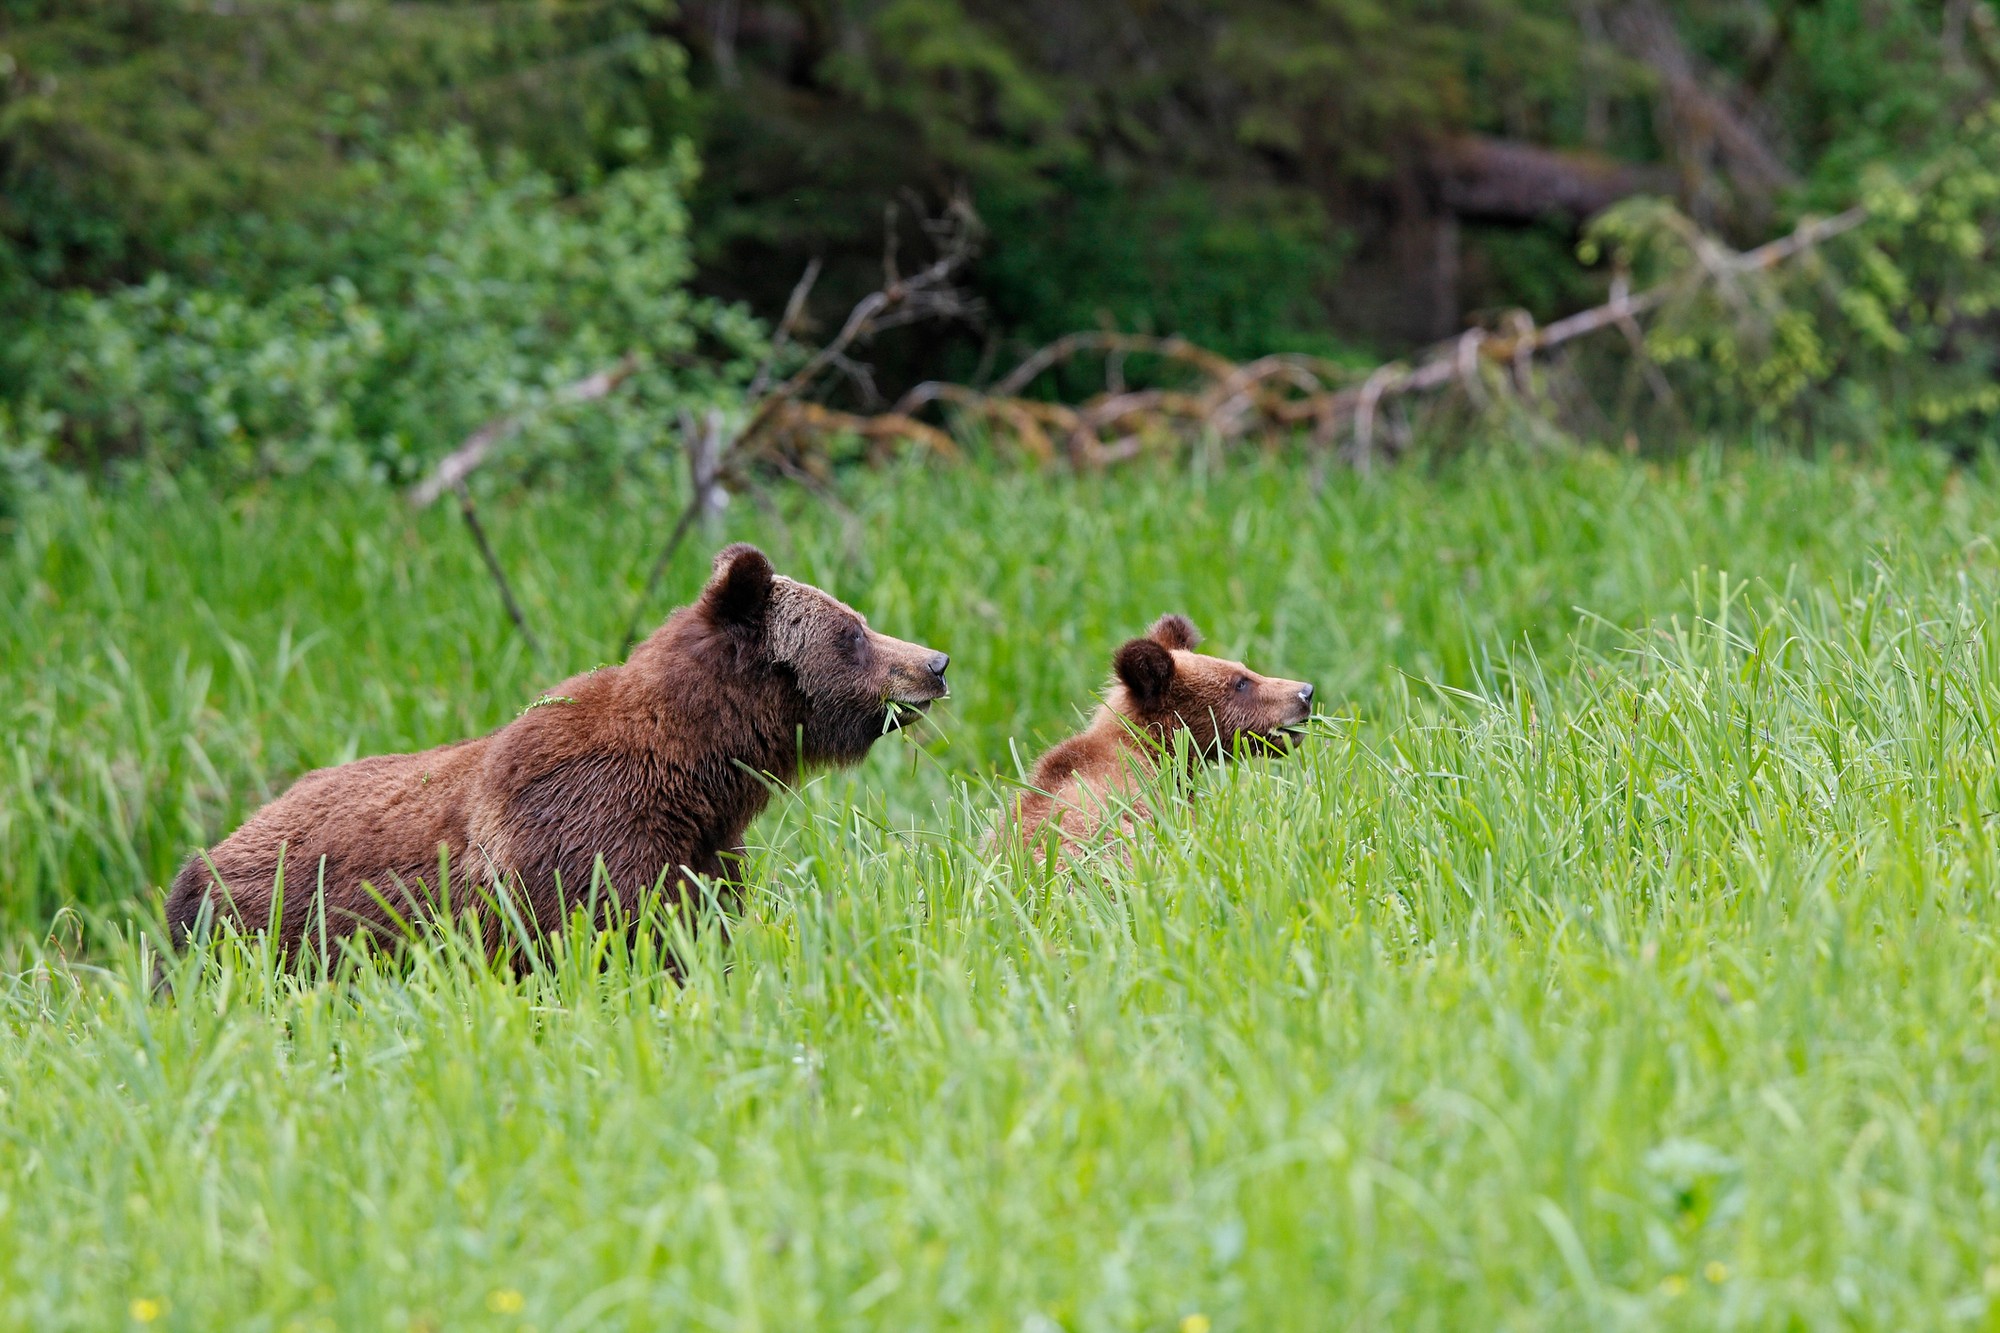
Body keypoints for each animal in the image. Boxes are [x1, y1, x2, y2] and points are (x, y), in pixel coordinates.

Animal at [168, 544, 948, 948]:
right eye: (852, 632)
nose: (935, 662)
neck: (698, 771)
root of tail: (202, 855)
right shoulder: (585, 835)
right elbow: (613, 937)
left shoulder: (703, 853)